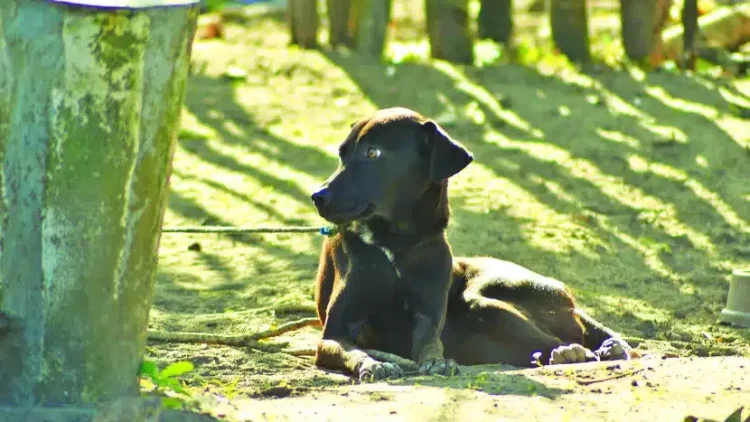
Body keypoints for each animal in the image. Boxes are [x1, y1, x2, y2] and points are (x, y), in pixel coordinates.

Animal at [308, 107, 632, 380]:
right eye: (342, 154)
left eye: (373, 153)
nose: (317, 196)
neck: (395, 243)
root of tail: (569, 300)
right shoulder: (333, 334)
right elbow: (353, 351)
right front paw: (374, 363)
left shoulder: (428, 318)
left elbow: (429, 346)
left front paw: (435, 361)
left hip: (485, 300)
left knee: (564, 338)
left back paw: (576, 351)